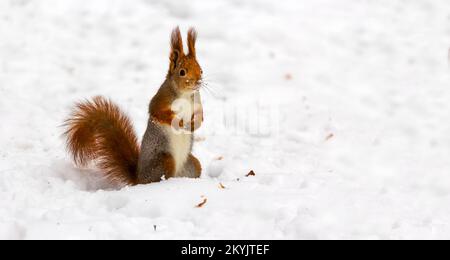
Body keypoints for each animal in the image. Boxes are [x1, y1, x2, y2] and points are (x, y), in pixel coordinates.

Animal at [63, 27, 204, 186]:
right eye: (182, 72)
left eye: (201, 69)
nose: (198, 82)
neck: (185, 94)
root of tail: (139, 177)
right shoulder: (160, 100)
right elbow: (158, 112)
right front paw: (179, 123)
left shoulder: (196, 103)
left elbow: (200, 114)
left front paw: (196, 123)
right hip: (164, 161)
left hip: (192, 164)